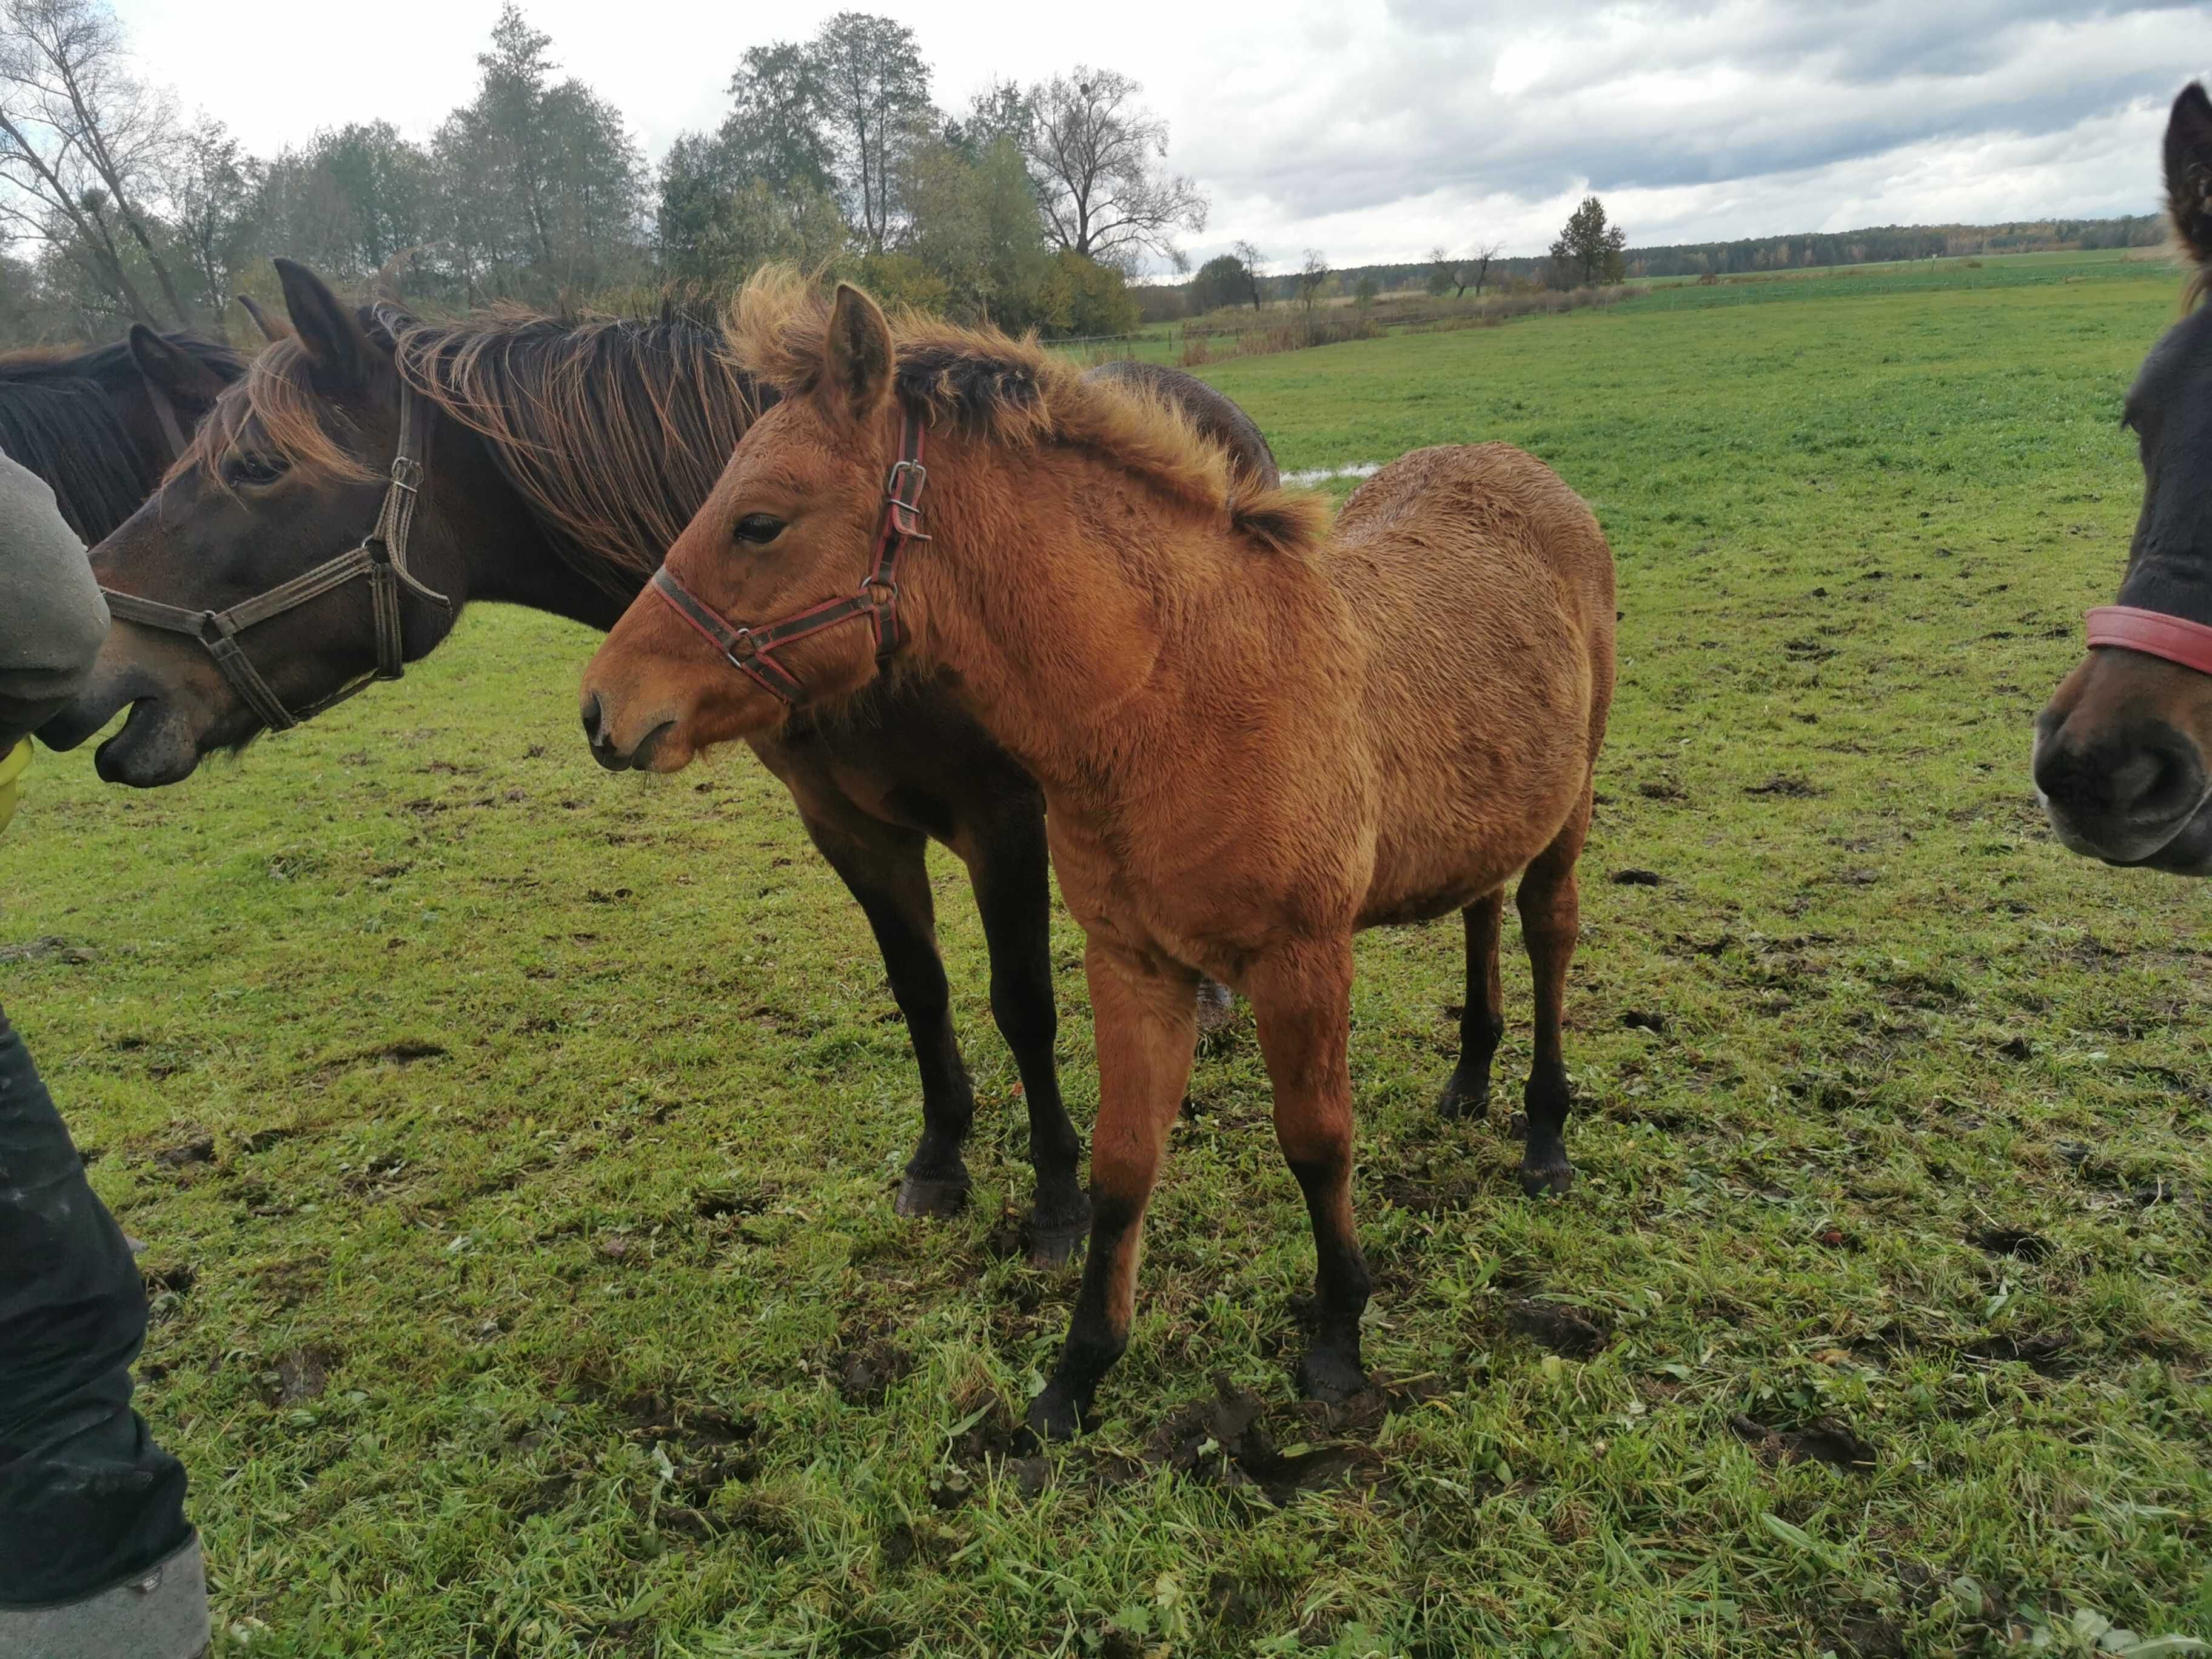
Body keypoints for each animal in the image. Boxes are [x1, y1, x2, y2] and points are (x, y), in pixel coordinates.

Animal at [39, 263, 1282, 1274]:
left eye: (254, 467)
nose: (91, 658)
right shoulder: (847, 825)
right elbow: (920, 989)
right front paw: (940, 1163)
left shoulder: (1001, 818)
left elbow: (1021, 1003)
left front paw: (1059, 1201)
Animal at [584, 280, 1627, 1433]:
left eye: (760, 521)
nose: (603, 707)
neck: (1178, 694)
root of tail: (1523, 469)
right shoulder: (1133, 963)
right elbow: (1124, 1166)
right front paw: (1076, 1373)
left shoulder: (1302, 959)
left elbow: (1317, 1145)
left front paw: (1336, 1345)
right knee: (1483, 909)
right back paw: (1468, 1079)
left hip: (1572, 807)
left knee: (1546, 933)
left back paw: (1543, 1136)